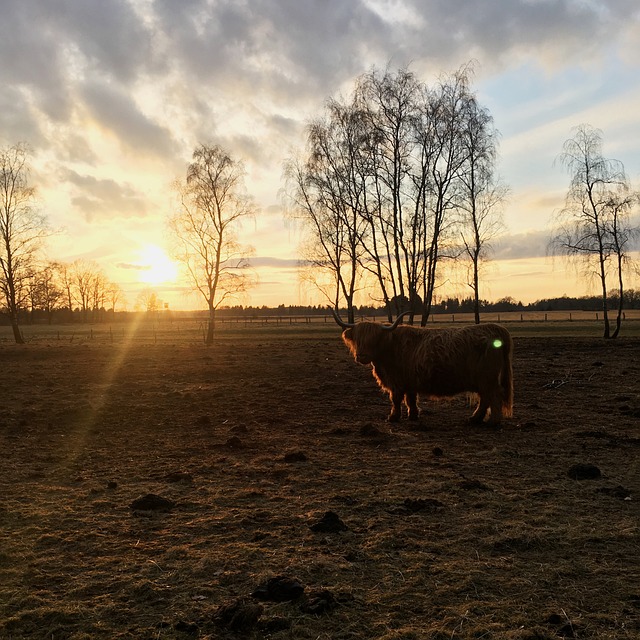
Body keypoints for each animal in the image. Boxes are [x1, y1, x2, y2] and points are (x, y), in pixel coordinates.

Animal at [332, 310, 512, 424]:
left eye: (374, 338)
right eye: (357, 339)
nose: (361, 356)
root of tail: (495, 328)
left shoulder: (396, 382)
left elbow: (396, 399)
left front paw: (393, 417)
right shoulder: (409, 381)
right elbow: (410, 399)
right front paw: (413, 415)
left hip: (487, 378)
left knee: (493, 396)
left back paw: (493, 422)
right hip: (483, 380)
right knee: (485, 398)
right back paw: (475, 419)